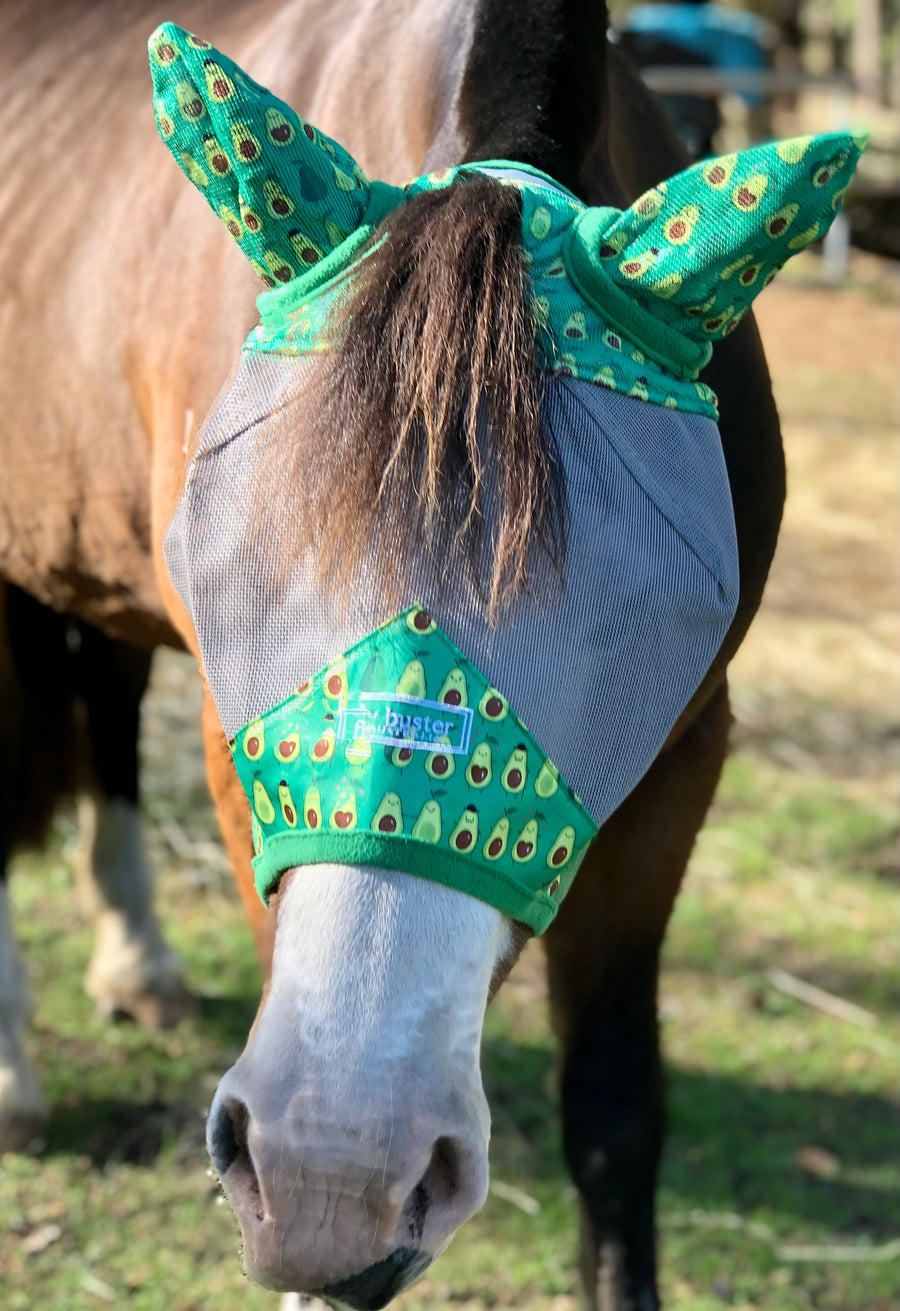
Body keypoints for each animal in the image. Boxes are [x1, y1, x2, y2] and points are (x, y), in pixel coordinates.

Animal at [0, 2, 813, 1311]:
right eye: (234, 579)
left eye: (638, 619)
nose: (339, 1174)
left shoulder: (683, 760)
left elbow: (615, 1117)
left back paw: (136, 960)